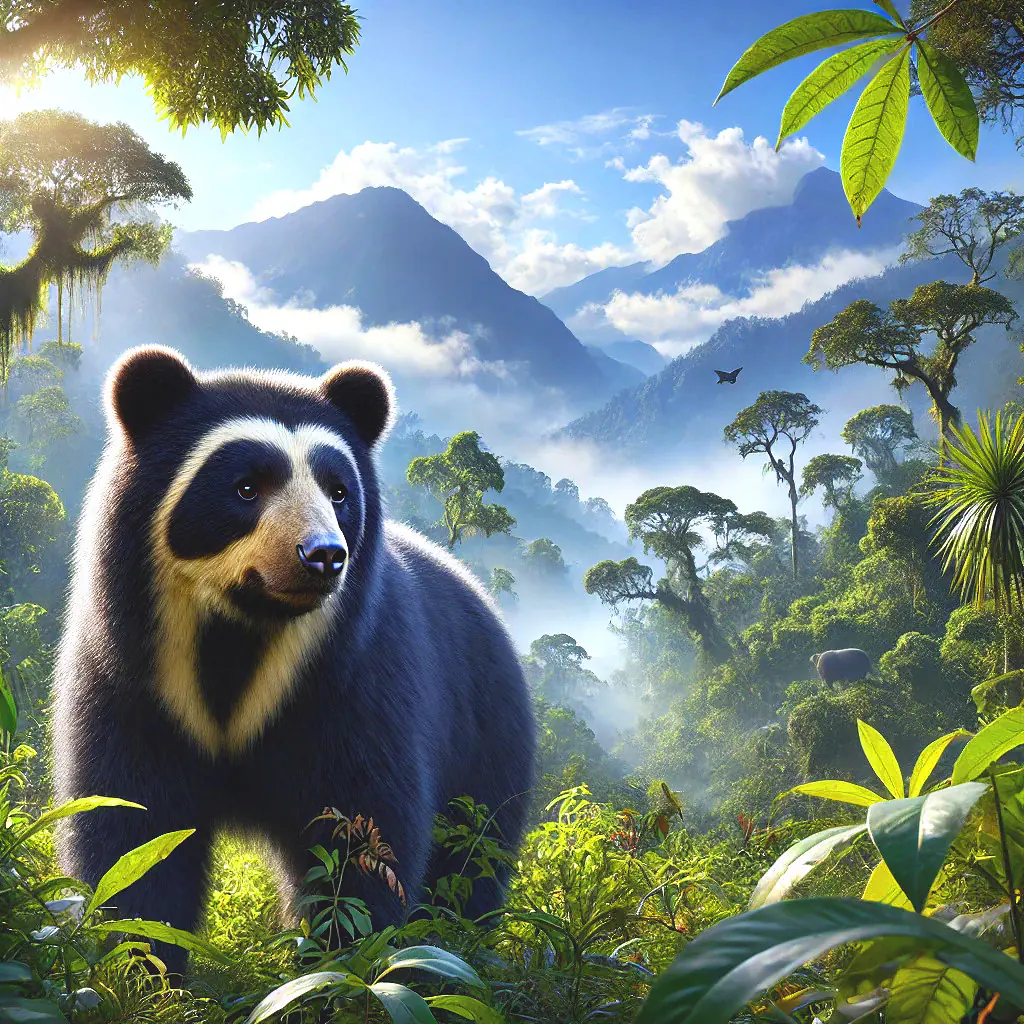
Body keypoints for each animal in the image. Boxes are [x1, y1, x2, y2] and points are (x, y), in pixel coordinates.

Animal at [52, 345, 537, 974]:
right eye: (245, 488)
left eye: (338, 491)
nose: (324, 555)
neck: (240, 634)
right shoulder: (131, 679)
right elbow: (133, 825)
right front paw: (142, 967)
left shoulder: (355, 683)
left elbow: (364, 835)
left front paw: (343, 964)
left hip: (487, 739)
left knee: (474, 855)